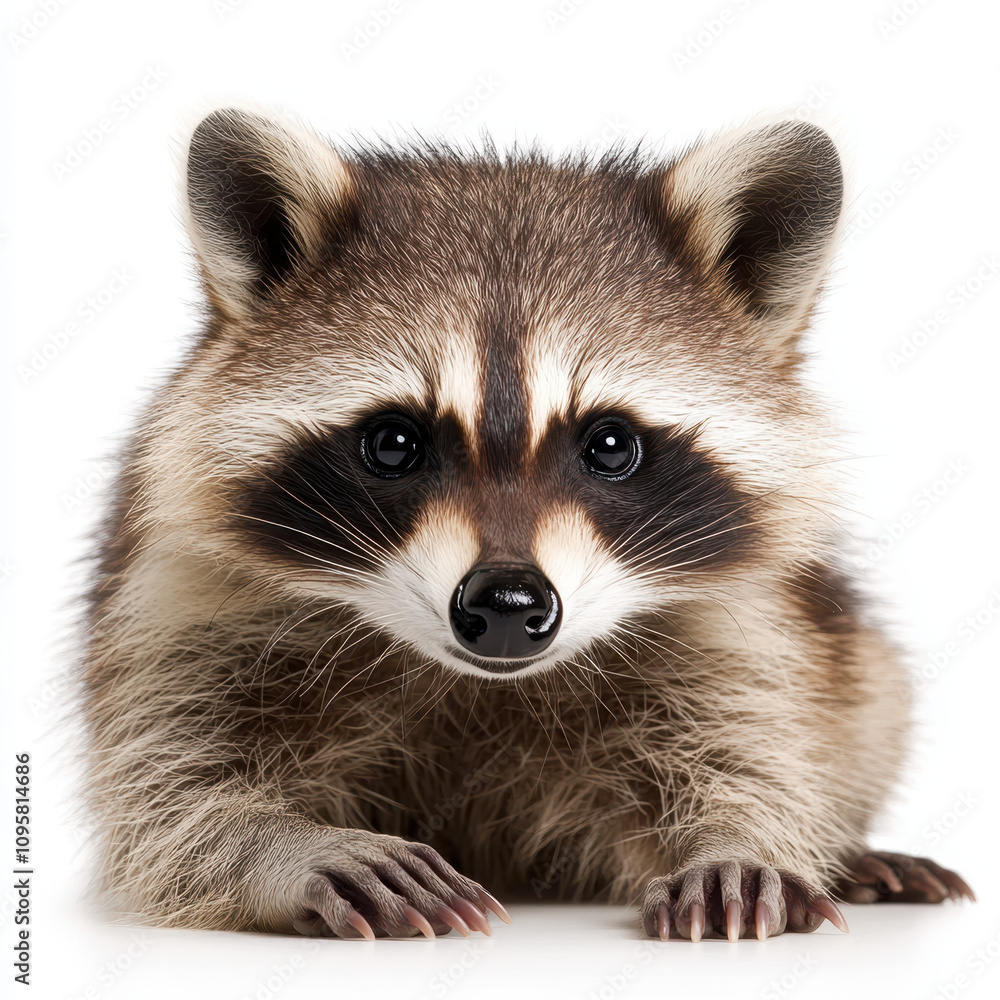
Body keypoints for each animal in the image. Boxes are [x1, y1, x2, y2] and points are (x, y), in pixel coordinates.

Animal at [79, 106, 973, 943]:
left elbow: (759, 747)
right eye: (394, 444)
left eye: (610, 445)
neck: (483, 686)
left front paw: (740, 840)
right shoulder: (184, 597)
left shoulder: (743, 619)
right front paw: (286, 845)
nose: (507, 604)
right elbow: (168, 793)